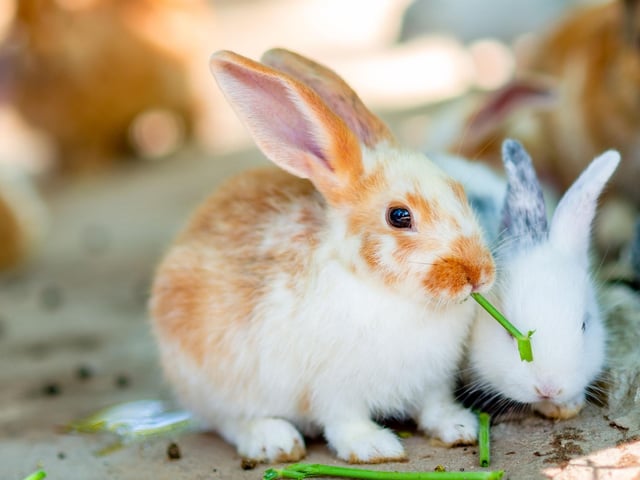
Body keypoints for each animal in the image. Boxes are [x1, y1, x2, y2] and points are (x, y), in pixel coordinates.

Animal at [149, 48, 496, 464]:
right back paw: (274, 441)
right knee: (230, 421)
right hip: (214, 383)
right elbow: (345, 421)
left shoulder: (433, 381)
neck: (388, 293)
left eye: (459, 191)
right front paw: (374, 448)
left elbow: (434, 406)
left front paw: (460, 428)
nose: (478, 274)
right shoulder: (334, 390)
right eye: (399, 216)